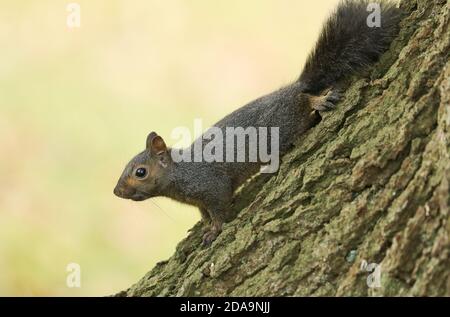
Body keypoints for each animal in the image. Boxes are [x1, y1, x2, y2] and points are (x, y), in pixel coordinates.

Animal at [113, 0, 400, 246]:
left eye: (140, 172)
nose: (116, 192)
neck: (179, 174)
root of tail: (296, 87)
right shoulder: (199, 200)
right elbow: (204, 213)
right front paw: (204, 226)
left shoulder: (211, 185)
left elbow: (219, 209)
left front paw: (213, 231)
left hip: (286, 122)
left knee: (304, 101)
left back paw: (318, 100)